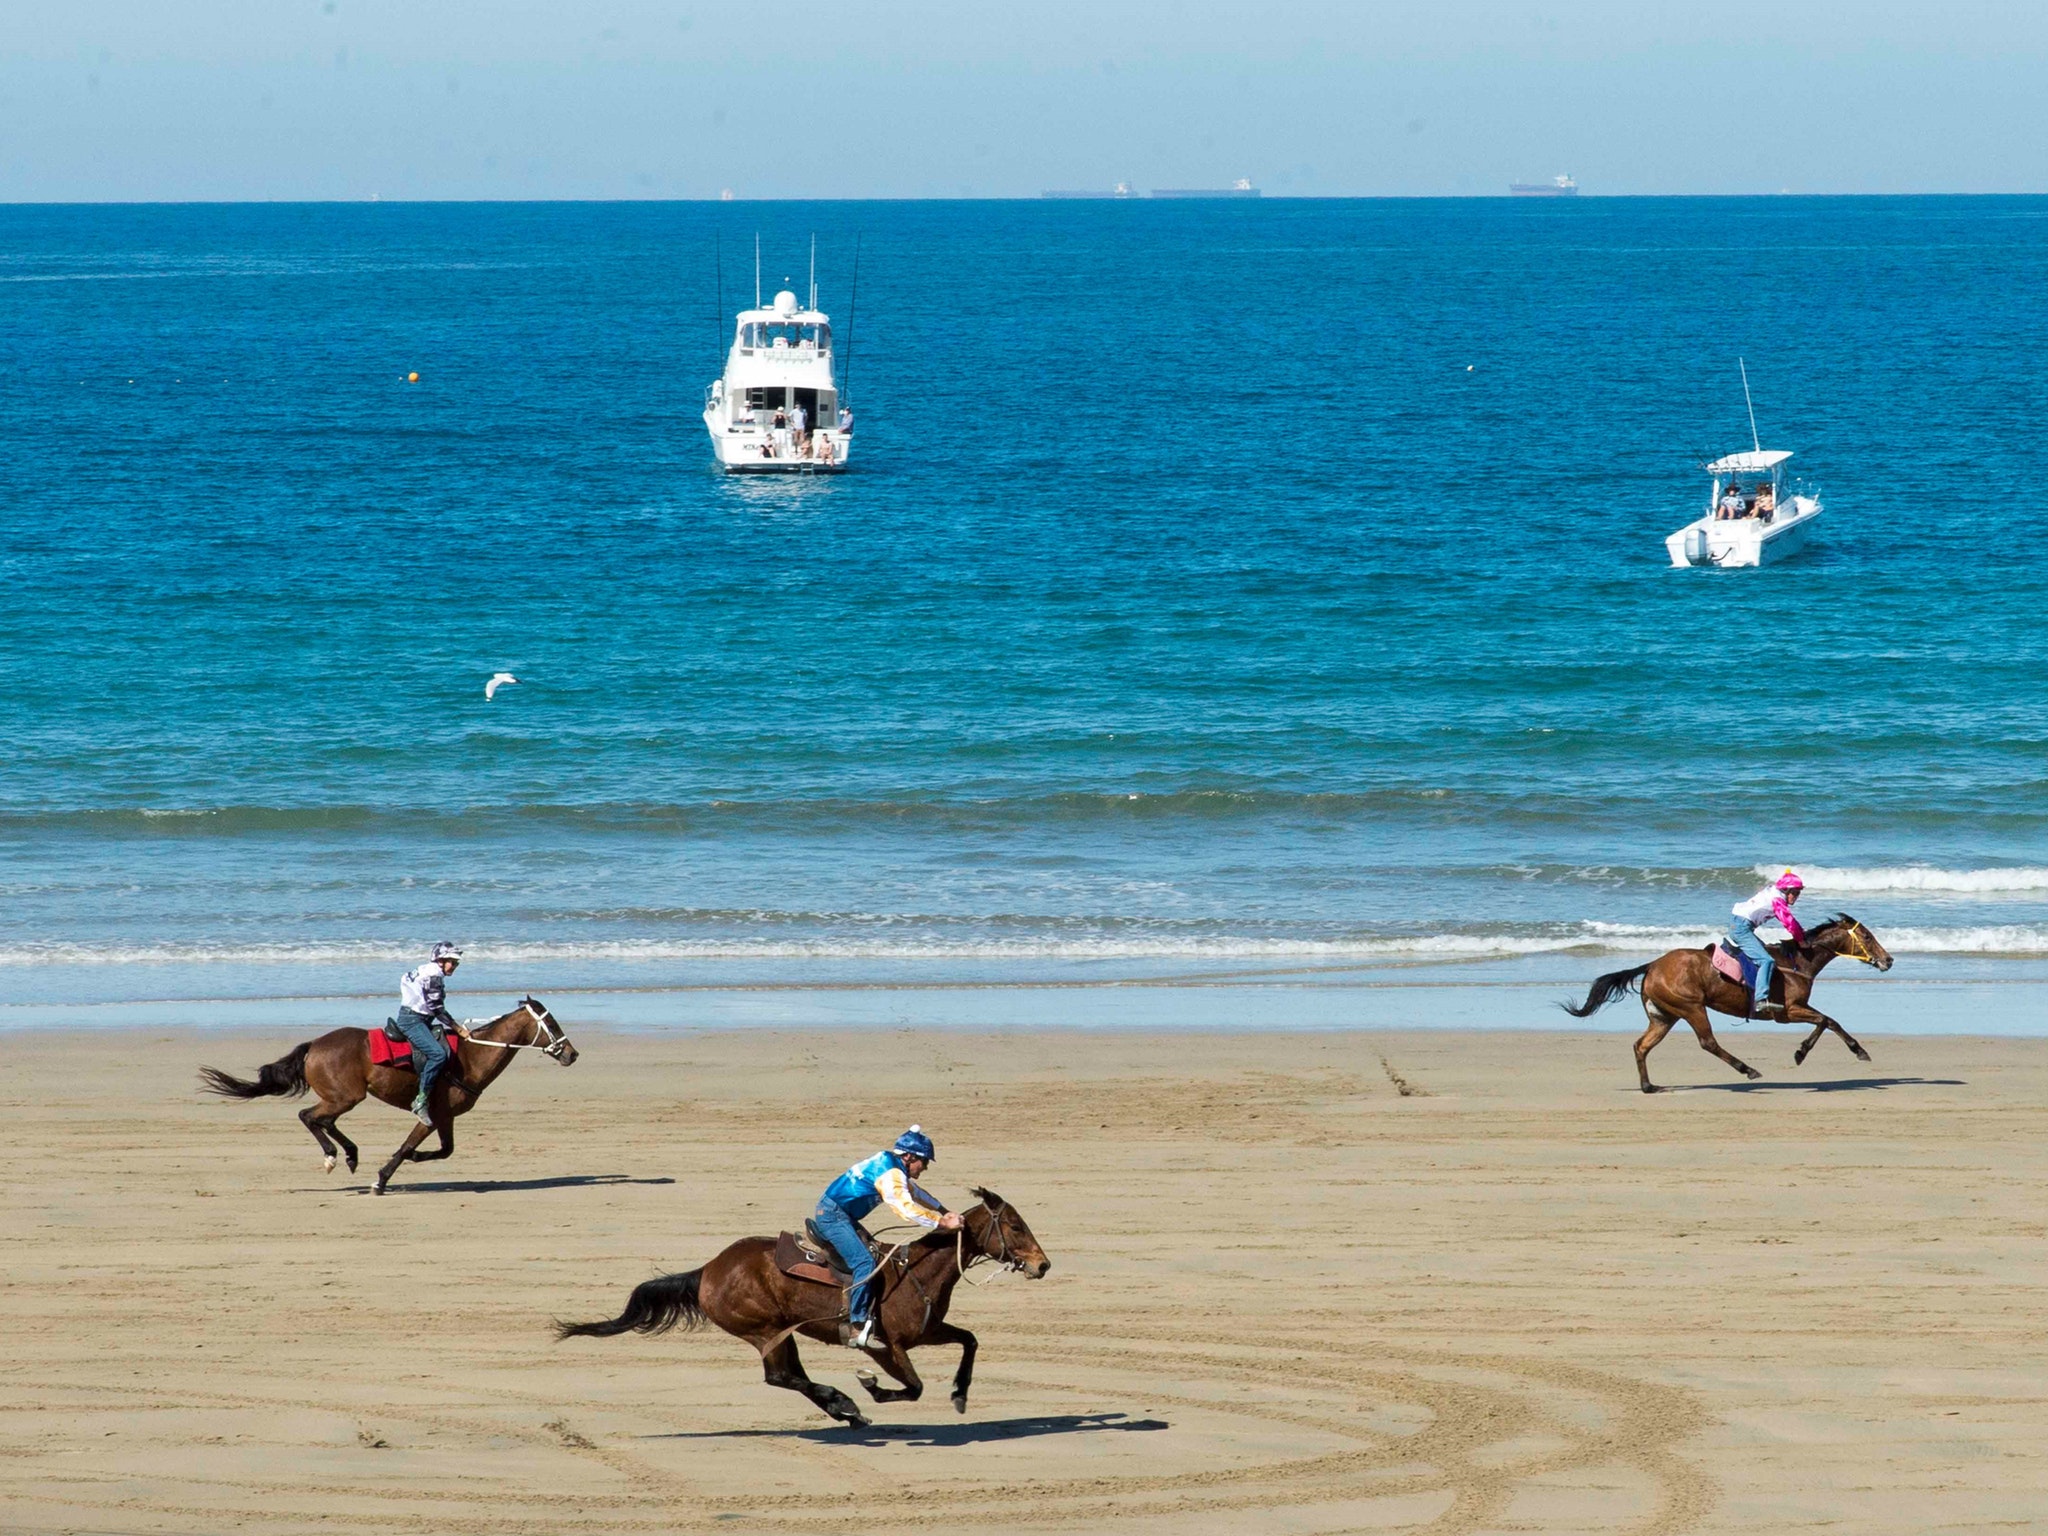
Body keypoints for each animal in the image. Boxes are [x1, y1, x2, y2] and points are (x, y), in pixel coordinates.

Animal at [198, 998, 579, 1193]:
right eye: (552, 1024)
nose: (572, 1054)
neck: (470, 1056)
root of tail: (313, 1046)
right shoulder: (430, 1115)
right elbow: (410, 1145)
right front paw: (381, 1179)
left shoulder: (446, 1116)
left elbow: (445, 1150)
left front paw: (409, 1159)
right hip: (346, 1096)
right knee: (309, 1116)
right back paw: (334, 1156)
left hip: (344, 1097)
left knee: (322, 1120)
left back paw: (350, 1155)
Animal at [555, 1188, 1050, 1428]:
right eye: (1014, 1225)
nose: (1042, 1264)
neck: (916, 1272)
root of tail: (707, 1271)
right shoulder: (884, 1346)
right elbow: (912, 1387)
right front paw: (870, 1388)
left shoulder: (926, 1332)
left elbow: (970, 1341)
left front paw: (960, 1394)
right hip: (763, 1329)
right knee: (780, 1376)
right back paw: (846, 1403)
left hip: (783, 1329)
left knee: (790, 1375)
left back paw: (846, 1412)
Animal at [1562, 915, 1894, 1093]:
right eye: (1866, 935)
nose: (1888, 960)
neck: (1797, 962)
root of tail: (1652, 965)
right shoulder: (1787, 1011)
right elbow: (1827, 1020)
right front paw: (1807, 1053)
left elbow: (1829, 1020)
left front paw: (1849, 1050)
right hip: (1692, 1007)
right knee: (1708, 1042)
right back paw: (1747, 1070)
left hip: (1665, 1016)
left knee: (1641, 1046)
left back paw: (1649, 1086)